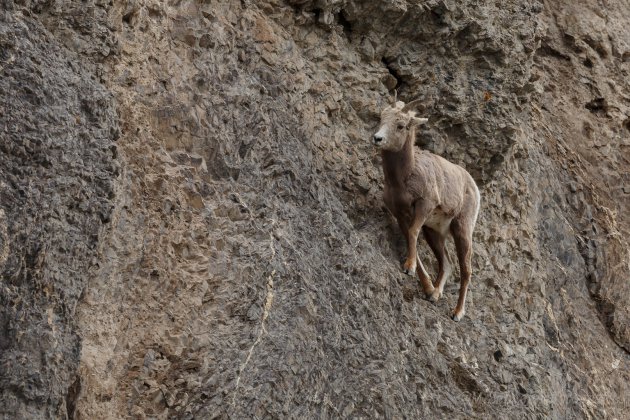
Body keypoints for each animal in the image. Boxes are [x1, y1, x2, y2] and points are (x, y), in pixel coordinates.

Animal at [372, 98, 482, 322]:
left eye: (401, 125)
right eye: (381, 118)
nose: (378, 139)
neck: (402, 179)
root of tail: (474, 187)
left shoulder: (424, 206)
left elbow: (413, 233)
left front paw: (409, 268)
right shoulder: (401, 215)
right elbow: (410, 237)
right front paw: (427, 288)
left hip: (462, 230)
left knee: (466, 270)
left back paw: (457, 313)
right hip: (434, 232)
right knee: (447, 263)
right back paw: (436, 294)